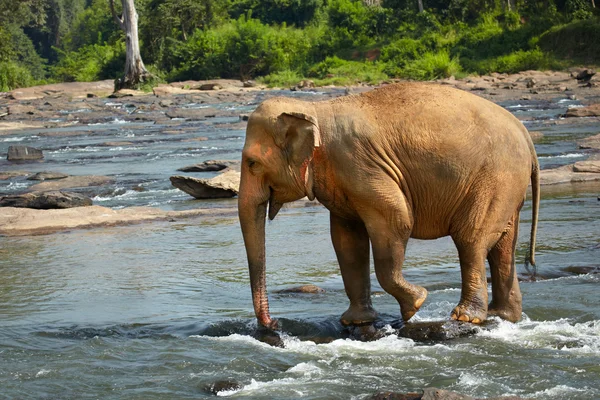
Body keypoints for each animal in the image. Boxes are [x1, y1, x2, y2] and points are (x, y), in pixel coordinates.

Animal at [237, 83, 540, 330]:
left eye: (252, 163)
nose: (273, 323)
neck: (314, 110)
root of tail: (525, 135)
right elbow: (346, 241)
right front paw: (356, 321)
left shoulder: (360, 164)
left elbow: (396, 218)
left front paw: (416, 304)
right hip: (508, 187)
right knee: (502, 247)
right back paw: (503, 316)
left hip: (495, 179)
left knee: (471, 240)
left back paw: (466, 317)